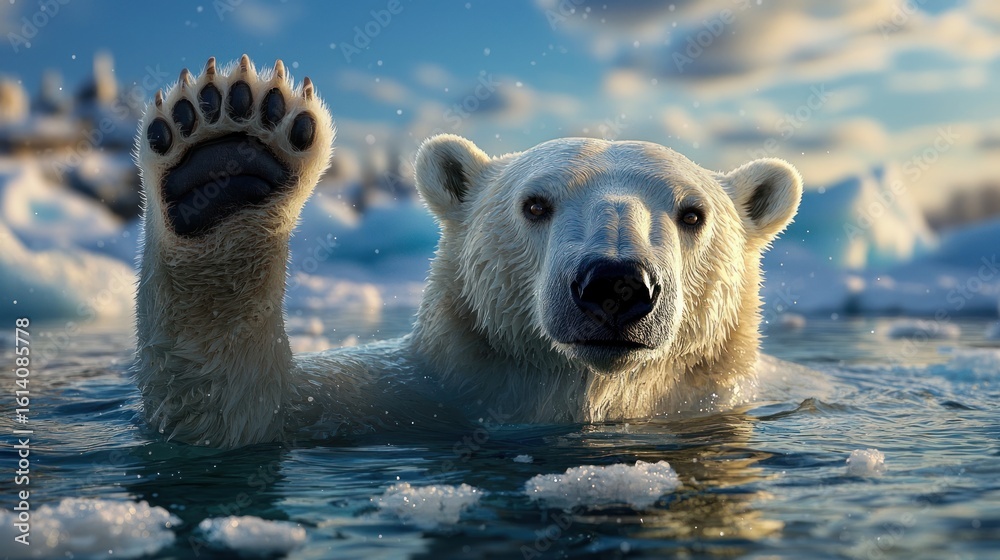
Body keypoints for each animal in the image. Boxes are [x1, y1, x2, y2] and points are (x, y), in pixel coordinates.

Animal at [132, 56, 803, 448]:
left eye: (693, 214)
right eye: (535, 204)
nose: (616, 284)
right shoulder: (414, 399)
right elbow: (237, 413)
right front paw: (227, 146)